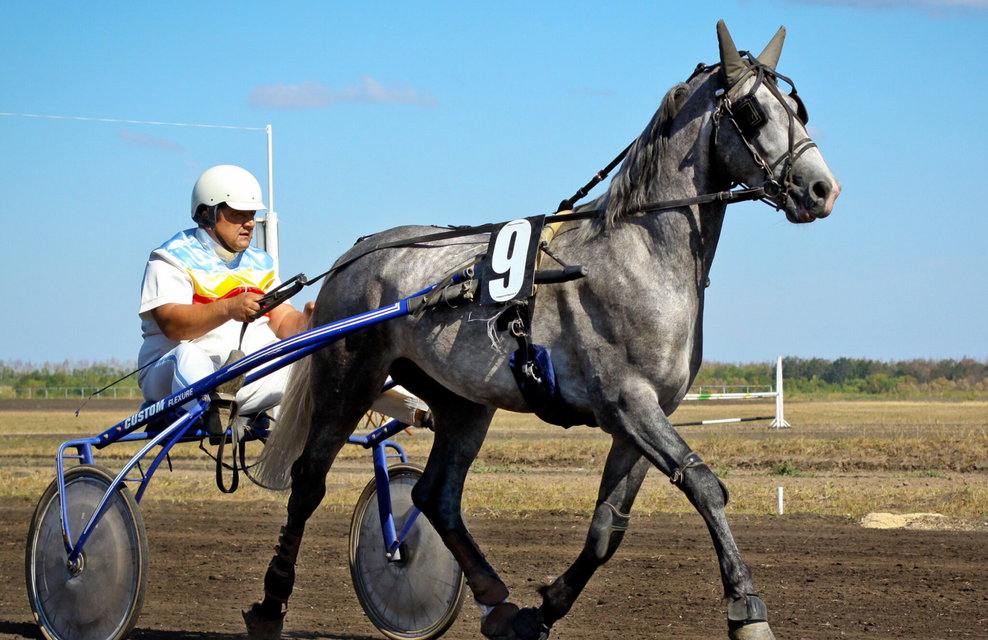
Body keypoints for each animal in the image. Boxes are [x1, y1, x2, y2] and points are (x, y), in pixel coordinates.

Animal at [245, 20, 840, 640]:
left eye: (797, 108)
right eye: (751, 110)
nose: (822, 188)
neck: (641, 253)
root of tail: (356, 254)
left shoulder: (643, 419)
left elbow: (607, 528)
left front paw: (544, 607)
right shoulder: (628, 403)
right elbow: (703, 485)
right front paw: (747, 608)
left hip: (461, 402)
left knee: (437, 495)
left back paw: (498, 603)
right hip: (348, 377)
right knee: (309, 481)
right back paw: (270, 603)